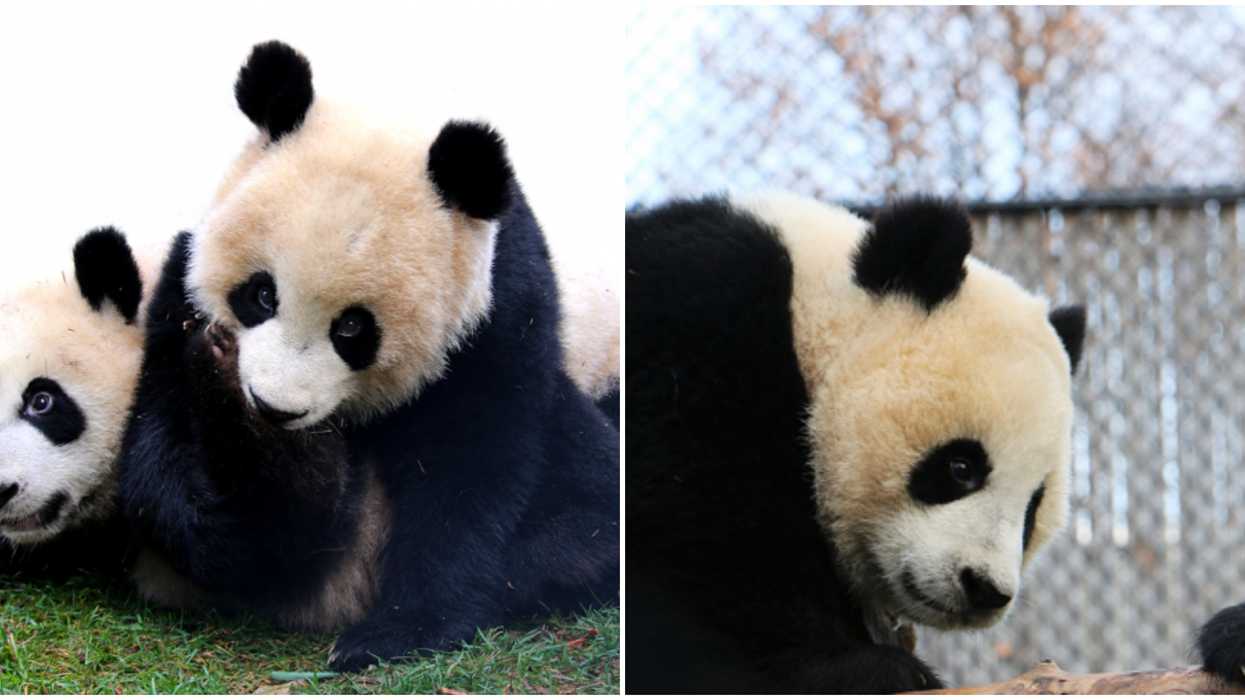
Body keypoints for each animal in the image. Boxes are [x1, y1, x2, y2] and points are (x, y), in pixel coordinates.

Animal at [118, 41, 620, 672]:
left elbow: (466, 470)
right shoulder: (179, 291)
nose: (274, 409)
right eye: (262, 294)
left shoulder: (494, 316)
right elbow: (163, 456)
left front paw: (399, 629)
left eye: (353, 328)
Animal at [626, 193, 1086, 693]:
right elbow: (701, 529)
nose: (984, 588)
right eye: (961, 467)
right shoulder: (696, 326)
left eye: (1033, 508)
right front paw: (858, 667)